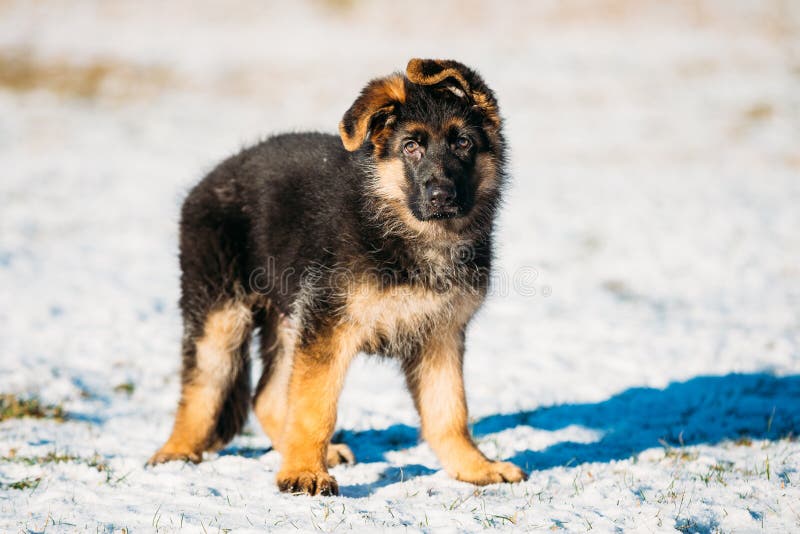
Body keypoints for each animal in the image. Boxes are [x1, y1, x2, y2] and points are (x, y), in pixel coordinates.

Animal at [148, 59, 528, 498]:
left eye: (463, 143)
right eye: (410, 147)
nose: (441, 197)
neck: (409, 232)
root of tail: (208, 180)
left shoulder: (440, 334)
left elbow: (449, 412)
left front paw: (474, 468)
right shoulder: (328, 325)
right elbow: (315, 406)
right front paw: (304, 473)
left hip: (288, 316)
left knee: (266, 396)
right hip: (221, 314)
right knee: (203, 385)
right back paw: (177, 451)